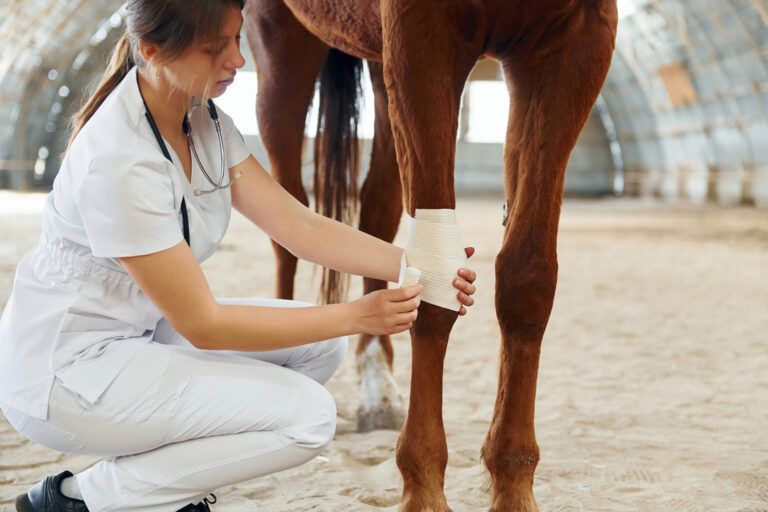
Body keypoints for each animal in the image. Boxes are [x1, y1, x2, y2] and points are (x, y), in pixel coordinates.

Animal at [243, 0, 618, 509]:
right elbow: (436, 290)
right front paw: (423, 487)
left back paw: (378, 390)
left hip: (379, 70)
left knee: (376, 211)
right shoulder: (421, 35)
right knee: (287, 219)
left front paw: (512, 485)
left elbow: (528, 276)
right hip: (281, 49)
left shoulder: (573, 45)